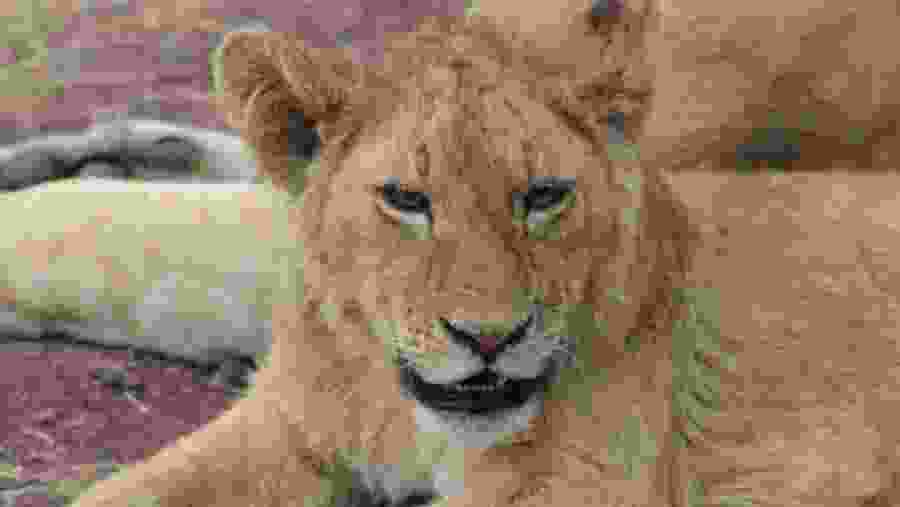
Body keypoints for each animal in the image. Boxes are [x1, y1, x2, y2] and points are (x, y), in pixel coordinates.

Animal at [70, 11, 900, 507]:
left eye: (543, 196)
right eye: (406, 199)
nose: (490, 338)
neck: (408, 419)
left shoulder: (584, 486)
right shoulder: (287, 428)